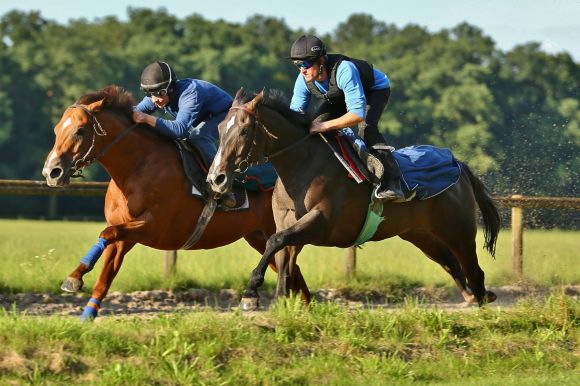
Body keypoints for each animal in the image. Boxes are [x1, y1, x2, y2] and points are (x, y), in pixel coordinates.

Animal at [42, 86, 310, 322]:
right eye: (56, 129)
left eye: (80, 130)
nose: (51, 172)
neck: (137, 167)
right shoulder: (125, 234)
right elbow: (105, 271)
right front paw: (83, 305)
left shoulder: (155, 229)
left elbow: (106, 233)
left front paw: (75, 277)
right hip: (258, 237)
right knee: (296, 277)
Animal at [210, 89, 502, 310]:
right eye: (221, 128)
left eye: (244, 131)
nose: (216, 178)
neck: (302, 166)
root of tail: (458, 164)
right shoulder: (288, 223)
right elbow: (282, 254)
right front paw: (283, 299)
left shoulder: (322, 223)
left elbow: (275, 242)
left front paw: (251, 291)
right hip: (421, 235)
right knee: (452, 264)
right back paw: (473, 296)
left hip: (458, 230)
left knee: (474, 269)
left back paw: (481, 300)